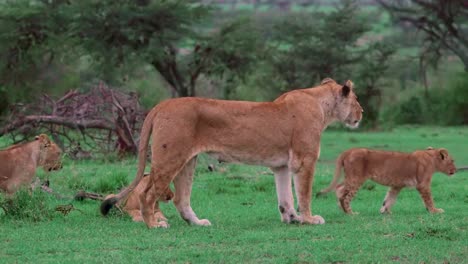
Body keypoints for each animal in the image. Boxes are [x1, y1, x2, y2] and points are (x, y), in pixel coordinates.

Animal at [100, 77, 364, 228]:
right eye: (356, 99)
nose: (362, 113)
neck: (322, 105)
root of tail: (162, 104)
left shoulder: (281, 166)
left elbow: (285, 196)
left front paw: (292, 219)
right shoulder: (304, 160)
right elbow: (304, 193)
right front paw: (309, 219)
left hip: (187, 161)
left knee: (180, 198)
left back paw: (197, 223)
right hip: (170, 158)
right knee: (148, 194)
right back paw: (153, 225)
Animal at [318, 146, 458, 214]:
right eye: (452, 161)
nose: (456, 170)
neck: (432, 159)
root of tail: (348, 151)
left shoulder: (396, 185)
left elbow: (389, 198)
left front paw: (385, 211)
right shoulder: (423, 184)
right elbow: (429, 199)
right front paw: (435, 211)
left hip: (350, 177)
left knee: (339, 188)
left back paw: (341, 209)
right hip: (356, 178)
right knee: (344, 196)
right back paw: (350, 212)